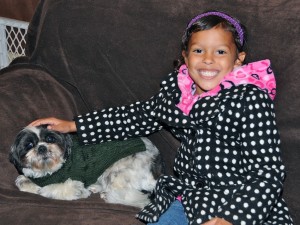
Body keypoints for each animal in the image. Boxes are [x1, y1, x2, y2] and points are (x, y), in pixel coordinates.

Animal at [9, 125, 163, 207]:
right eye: (29, 145)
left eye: (50, 139)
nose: (41, 148)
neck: (49, 170)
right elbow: (25, 181)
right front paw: (26, 182)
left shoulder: (71, 183)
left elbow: (49, 190)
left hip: (116, 172)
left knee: (137, 199)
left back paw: (108, 195)